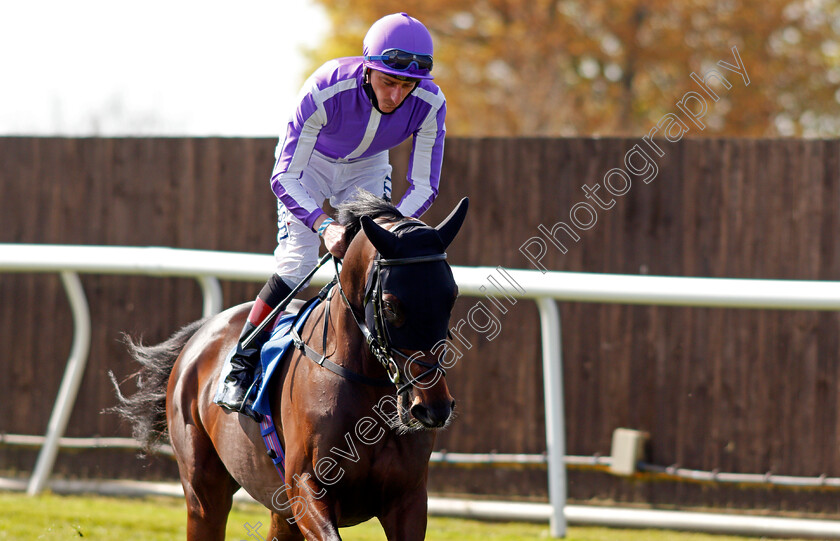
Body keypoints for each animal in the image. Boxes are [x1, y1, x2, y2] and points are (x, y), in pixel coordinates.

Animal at [109, 192, 470, 536]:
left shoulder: (408, 499)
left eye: (450, 298)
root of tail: (203, 330)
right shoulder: (306, 489)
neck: (363, 383)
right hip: (204, 492)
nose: (433, 408)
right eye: (390, 305)